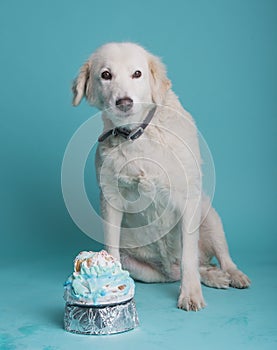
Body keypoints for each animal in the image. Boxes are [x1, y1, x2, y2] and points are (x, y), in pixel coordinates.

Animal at [72, 42, 249, 310]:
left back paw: (231, 274)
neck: (137, 134)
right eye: (106, 75)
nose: (124, 101)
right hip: (145, 270)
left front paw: (190, 294)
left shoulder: (188, 198)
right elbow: (111, 249)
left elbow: (188, 257)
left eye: (137, 74)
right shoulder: (110, 199)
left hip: (209, 215)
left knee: (213, 259)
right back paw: (214, 276)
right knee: (194, 268)